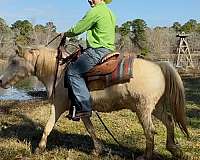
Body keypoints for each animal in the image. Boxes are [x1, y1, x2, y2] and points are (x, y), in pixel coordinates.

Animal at [0, 45, 189, 160]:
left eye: (14, 61)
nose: (1, 81)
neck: (59, 73)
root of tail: (159, 66)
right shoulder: (81, 109)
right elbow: (91, 129)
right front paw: (98, 149)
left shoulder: (59, 105)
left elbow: (48, 125)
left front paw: (39, 148)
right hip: (155, 107)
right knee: (169, 122)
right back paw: (174, 148)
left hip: (143, 109)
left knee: (150, 131)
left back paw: (147, 155)